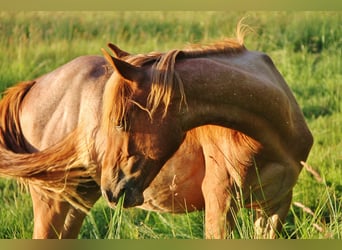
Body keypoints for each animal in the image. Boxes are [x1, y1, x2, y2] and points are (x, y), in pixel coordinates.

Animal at [0, 31, 312, 238]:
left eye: (120, 122)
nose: (112, 190)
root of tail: (34, 85)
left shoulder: (275, 208)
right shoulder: (220, 203)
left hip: (79, 198)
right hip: (52, 200)